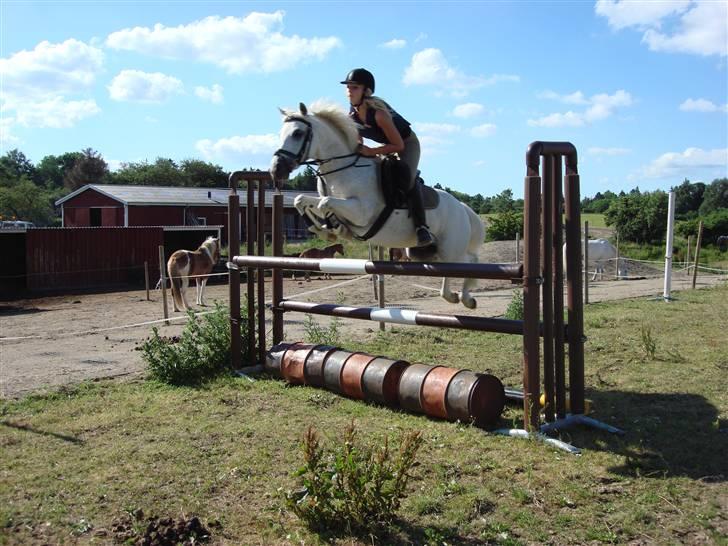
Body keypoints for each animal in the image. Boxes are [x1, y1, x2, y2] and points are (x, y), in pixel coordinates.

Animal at [268, 101, 484, 306]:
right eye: (281, 134)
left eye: (297, 133)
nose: (276, 170)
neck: (343, 170)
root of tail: (462, 207)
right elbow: (303, 200)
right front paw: (325, 229)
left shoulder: (361, 212)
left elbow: (326, 203)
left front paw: (333, 229)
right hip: (423, 252)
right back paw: (458, 296)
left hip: (451, 248)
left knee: (469, 262)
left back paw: (464, 298)